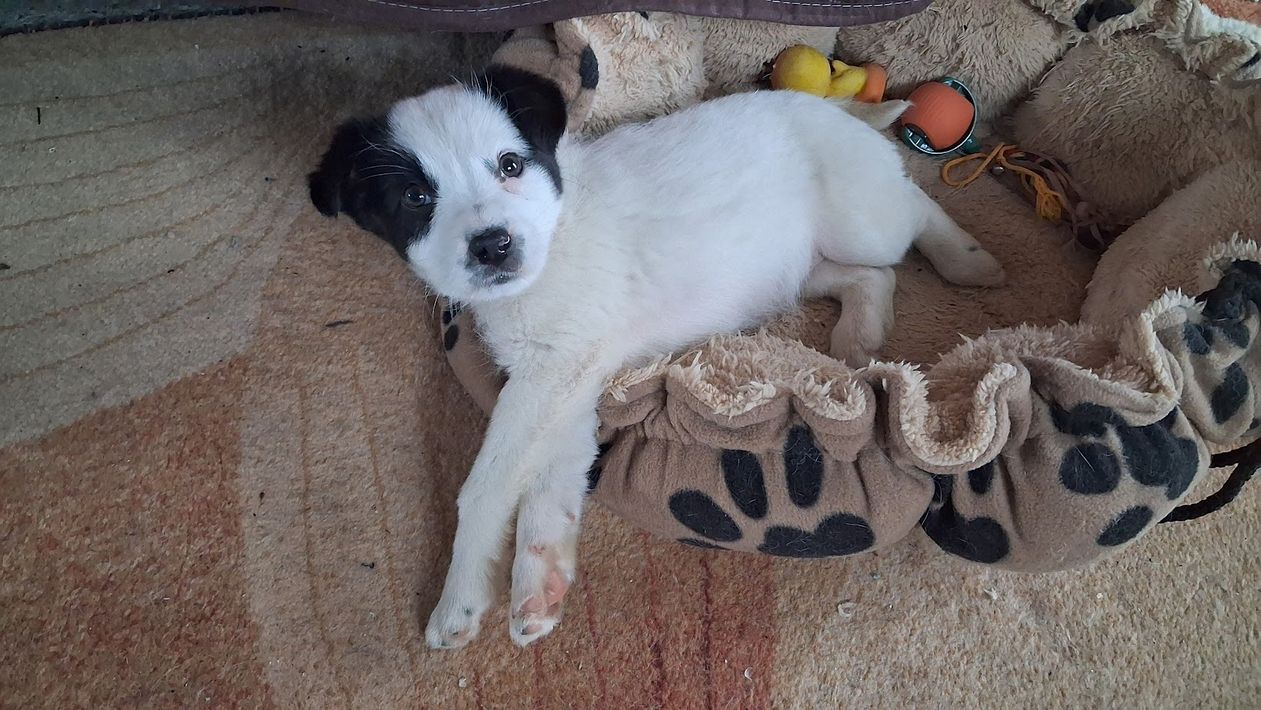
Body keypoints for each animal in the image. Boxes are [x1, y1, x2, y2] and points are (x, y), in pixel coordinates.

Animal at [308, 66, 1005, 649]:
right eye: (414, 199)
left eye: (510, 164)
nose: (493, 246)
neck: (552, 239)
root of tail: (833, 107)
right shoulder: (567, 379)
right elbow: (550, 480)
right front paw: (540, 584)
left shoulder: (553, 373)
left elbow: (485, 485)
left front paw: (458, 600)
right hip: (795, 266)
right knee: (871, 278)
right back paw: (860, 335)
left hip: (862, 220)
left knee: (913, 207)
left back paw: (967, 258)